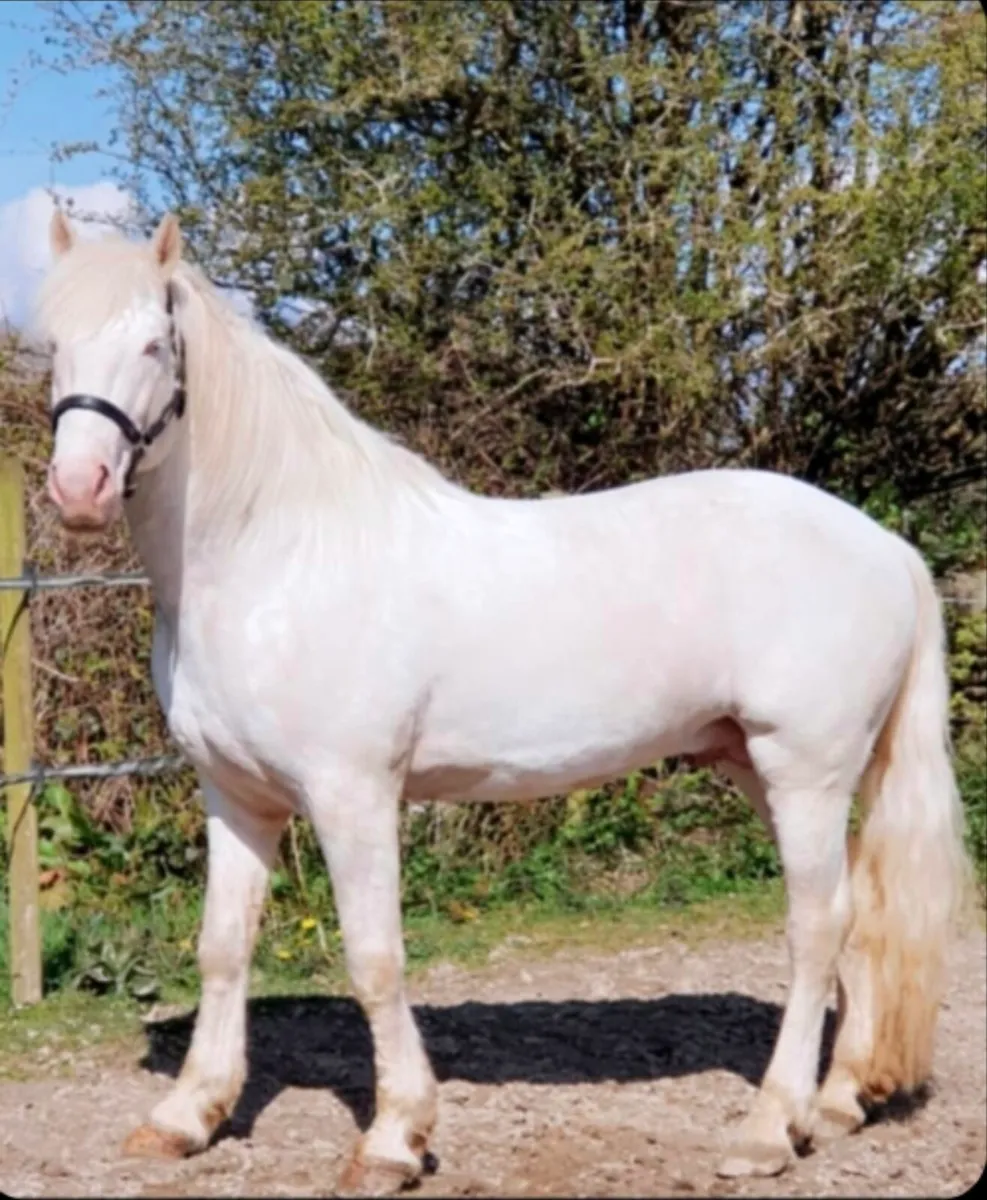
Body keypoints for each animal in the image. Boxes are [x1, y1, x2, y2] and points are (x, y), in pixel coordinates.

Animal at [36, 210, 970, 1194]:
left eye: (154, 343)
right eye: (53, 345)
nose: (79, 489)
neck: (277, 561)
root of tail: (885, 548)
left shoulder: (351, 794)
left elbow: (374, 958)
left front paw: (394, 1138)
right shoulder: (236, 797)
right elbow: (221, 949)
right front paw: (186, 1116)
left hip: (804, 773)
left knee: (815, 926)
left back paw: (767, 1128)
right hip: (762, 767)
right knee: (855, 919)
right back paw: (837, 1103)